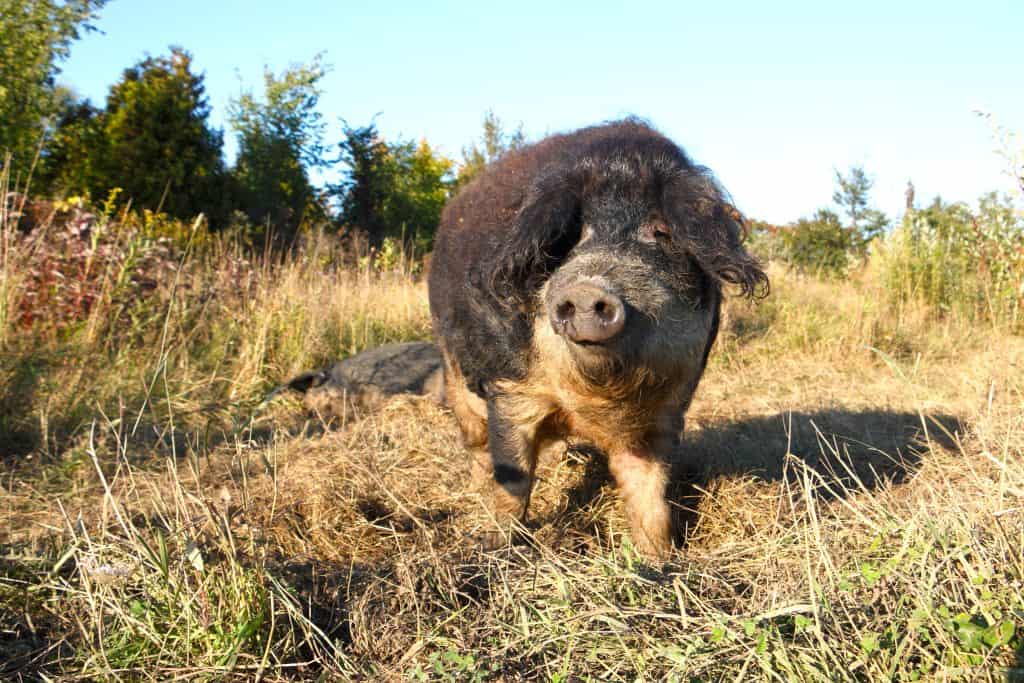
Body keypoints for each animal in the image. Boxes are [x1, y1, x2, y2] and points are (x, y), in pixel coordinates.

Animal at [428, 119, 767, 557]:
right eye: (570, 236)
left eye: (660, 231)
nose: (589, 289)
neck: (596, 402)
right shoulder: (511, 390)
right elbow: (514, 479)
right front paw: (498, 548)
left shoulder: (665, 410)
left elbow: (649, 492)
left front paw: (658, 559)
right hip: (455, 374)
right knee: (475, 442)